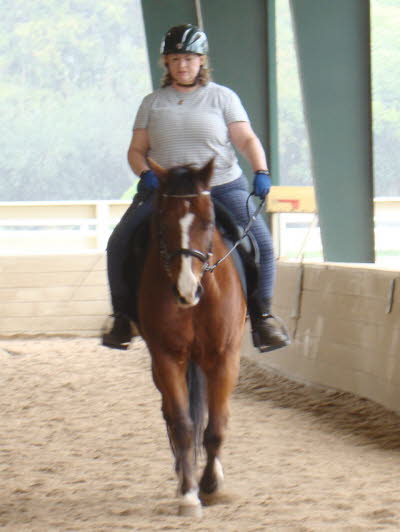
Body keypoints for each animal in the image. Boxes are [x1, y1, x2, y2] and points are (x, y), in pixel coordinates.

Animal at [138, 157, 247, 516]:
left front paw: (211, 484)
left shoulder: (225, 357)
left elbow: (216, 427)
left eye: (208, 220)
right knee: (171, 417)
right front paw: (189, 492)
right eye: (163, 221)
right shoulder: (167, 357)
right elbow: (183, 425)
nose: (187, 291)